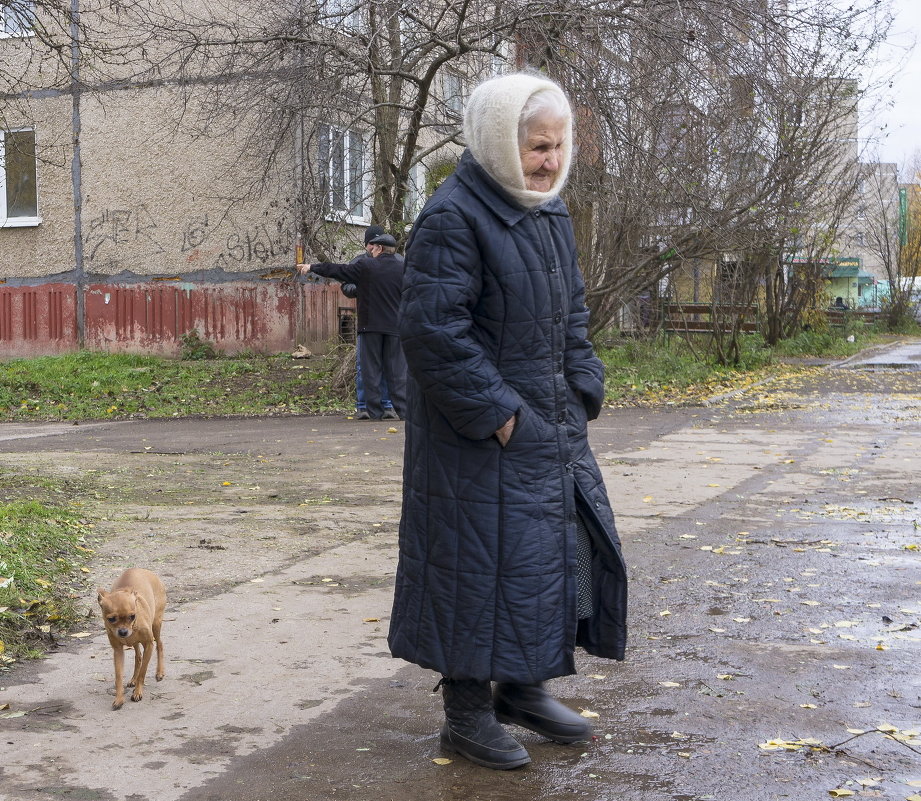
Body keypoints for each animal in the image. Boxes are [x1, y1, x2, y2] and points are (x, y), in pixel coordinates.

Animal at [98, 564, 168, 708]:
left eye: (132, 616)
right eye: (111, 619)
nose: (123, 632)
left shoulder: (149, 645)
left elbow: (143, 672)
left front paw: (137, 692)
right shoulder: (118, 651)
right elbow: (118, 676)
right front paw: (119, 698)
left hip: (156, 624)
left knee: (159, 644)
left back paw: (159, 672)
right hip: (136, 643)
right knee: (138, 656)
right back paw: (133, 679)